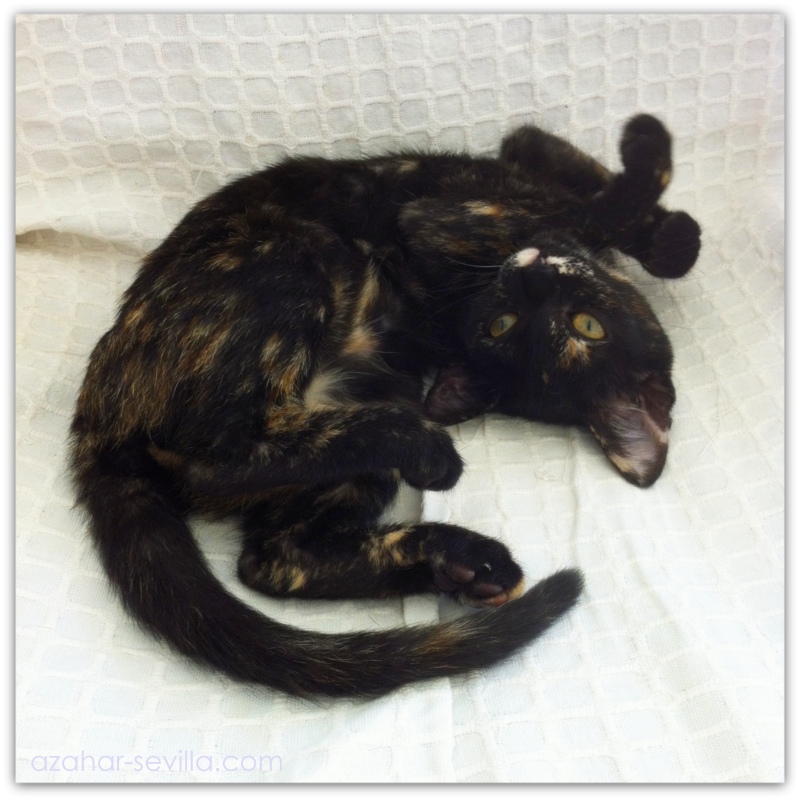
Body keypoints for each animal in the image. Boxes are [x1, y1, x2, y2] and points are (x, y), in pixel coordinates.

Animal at [70, 114, 700, 698]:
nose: (529, 281)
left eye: (585, 326)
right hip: (291, 261)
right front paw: (663, 203)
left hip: (344, 374)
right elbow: (602, 204)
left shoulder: (450, 220)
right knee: (213, 458)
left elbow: (585, 211)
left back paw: (459, 548)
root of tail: (99, 410)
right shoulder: (494, 175)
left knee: (261, 541)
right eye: (504, 324)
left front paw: (644, 188)